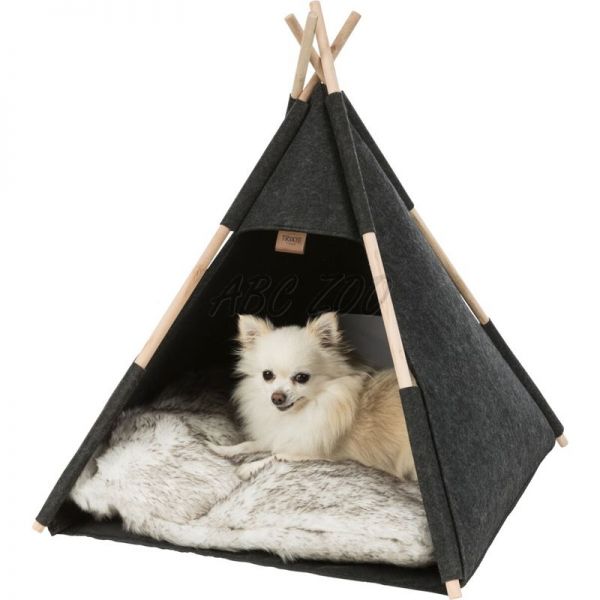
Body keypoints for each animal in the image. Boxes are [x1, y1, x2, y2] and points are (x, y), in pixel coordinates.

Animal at [209, 312, 417, 481]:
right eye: (267, 375)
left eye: (302, 378)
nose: (277, 397)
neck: (298, 413)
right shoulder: (282, 435)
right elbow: (248, 444)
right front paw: (221, 449)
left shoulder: (314, 452)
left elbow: (275, 456)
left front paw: (247, 467)